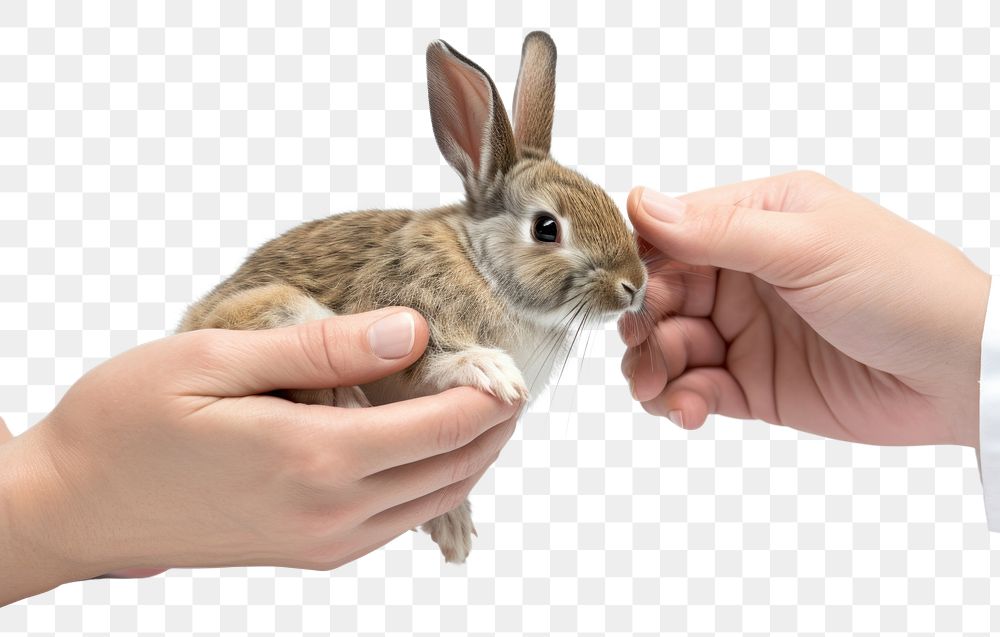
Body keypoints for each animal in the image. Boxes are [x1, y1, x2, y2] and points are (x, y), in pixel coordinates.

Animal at [180, 32, 648, 560]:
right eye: (546, 228)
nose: (634, 287)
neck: (482, 267)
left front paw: (454, 529)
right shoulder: (399, 304)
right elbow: (428, 358)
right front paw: (489, 369)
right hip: (279, 310)